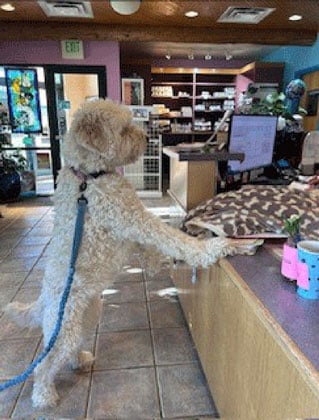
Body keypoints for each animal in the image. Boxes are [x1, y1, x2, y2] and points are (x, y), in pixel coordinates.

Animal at [5, 98, 260, 406]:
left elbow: (154, 248)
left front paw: (162, 261)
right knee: (44, 365)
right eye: (124, 128)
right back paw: (44, 396)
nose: (148, 139)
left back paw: (79, 360)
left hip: (87, 316)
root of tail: (43, 301)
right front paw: (214, 248)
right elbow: (171, 237)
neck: (88, 178)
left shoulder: (131, 227)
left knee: (66, 352)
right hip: (64, 327)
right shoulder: (133, 218)